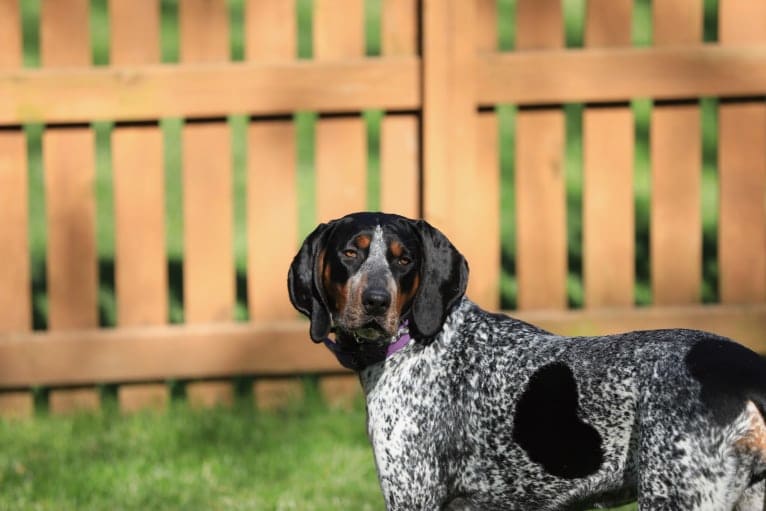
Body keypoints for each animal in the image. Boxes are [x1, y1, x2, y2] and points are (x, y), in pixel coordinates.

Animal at [288, 210, 766, 510]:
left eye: (403, 260)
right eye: (350, 253)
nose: (376, 301)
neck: (416, 342)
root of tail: (748, 370)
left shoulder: (413, 495)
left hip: (676, 494)